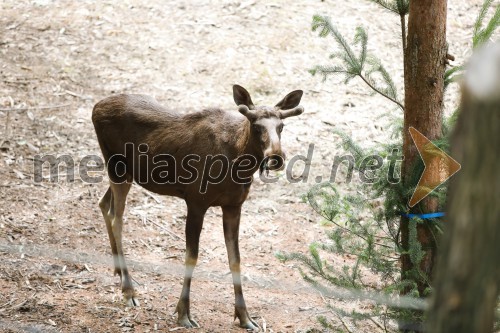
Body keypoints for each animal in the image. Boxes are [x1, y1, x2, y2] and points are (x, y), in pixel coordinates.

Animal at [93, 84, 304, 328]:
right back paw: (129, 290)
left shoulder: (234, 206)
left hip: (126, 173)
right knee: (117, 218)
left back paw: (119, 272)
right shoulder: (195, 202)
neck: (237, 163)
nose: (275, 157)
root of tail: (95, 107)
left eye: (281, 126)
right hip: (116, 167)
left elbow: (235, 259)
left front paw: (244, 316)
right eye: (256, 125)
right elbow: (191, 256)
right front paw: (183, 313)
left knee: (104, 204)